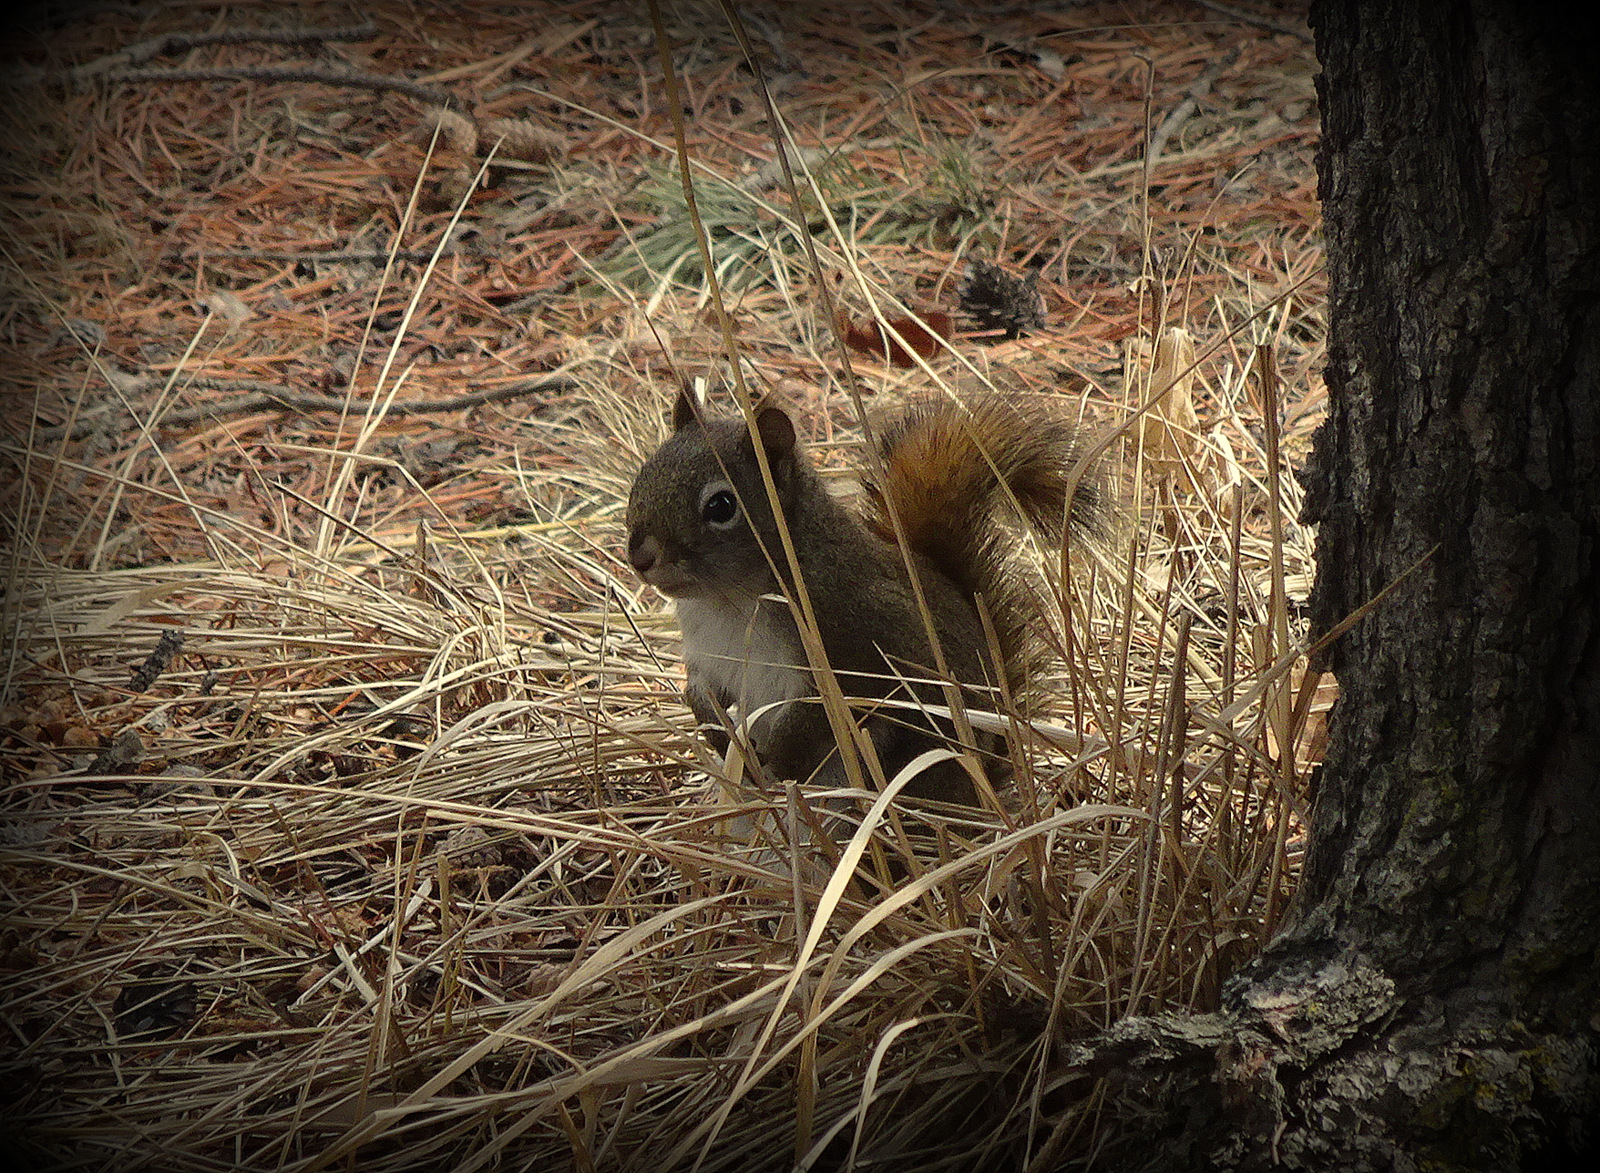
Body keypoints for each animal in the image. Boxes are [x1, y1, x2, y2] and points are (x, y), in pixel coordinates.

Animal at [625, 383, 1100, 808]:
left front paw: (777, 751)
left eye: (721, 506)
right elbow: (701, 689)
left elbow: (834, 706)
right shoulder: (708, 651)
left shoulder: (859, 636)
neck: (728, 600)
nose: (640, 557)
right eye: (642, 475)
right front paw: (717, 731)